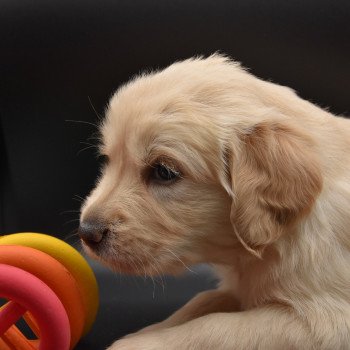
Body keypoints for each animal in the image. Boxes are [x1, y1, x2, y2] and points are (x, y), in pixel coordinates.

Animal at [78, 54, 350, 348]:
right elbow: (203, 300)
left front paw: (136, 344)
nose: (86, 232)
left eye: (164, 172)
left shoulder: (325, 322)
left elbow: (217, 327)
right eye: (110, 161)